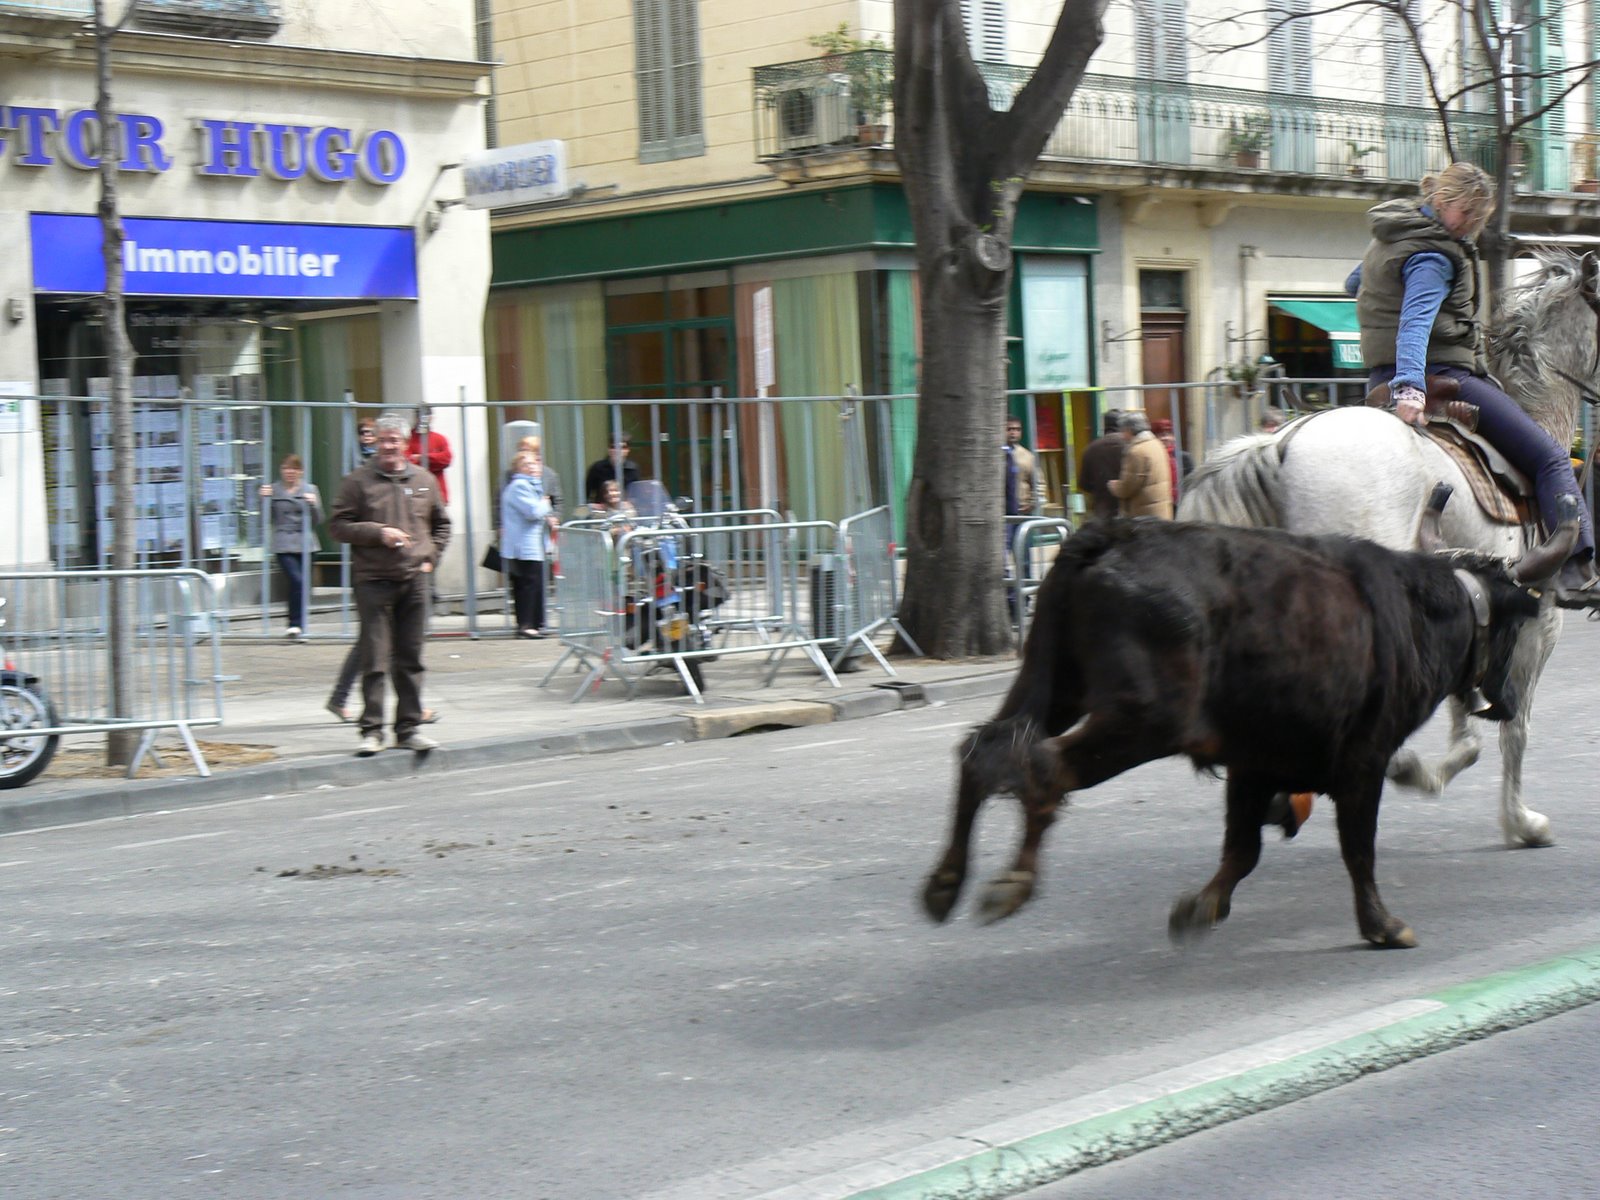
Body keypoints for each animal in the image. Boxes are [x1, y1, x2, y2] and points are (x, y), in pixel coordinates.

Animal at [921, 515, 1575, 949]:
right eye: (1515, 628)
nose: (1508, 702)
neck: (1421, 612)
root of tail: (1114, 535)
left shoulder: (1255, 764)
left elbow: (1242, 848)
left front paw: (1200, 906)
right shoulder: (1363, 762)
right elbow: (1357, 850)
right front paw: (1383, 926)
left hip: (1052, 689)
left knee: (984, 751)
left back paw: (945, 884)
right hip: (1139, 723)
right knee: (1041, 767)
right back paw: (1011, 883)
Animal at [1179, 249, 1600, 848]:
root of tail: (1282, 442)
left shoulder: (1479, 610)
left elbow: (1468, 714)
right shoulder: (1537, 622)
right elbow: (1513, 726)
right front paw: (1520, 820)